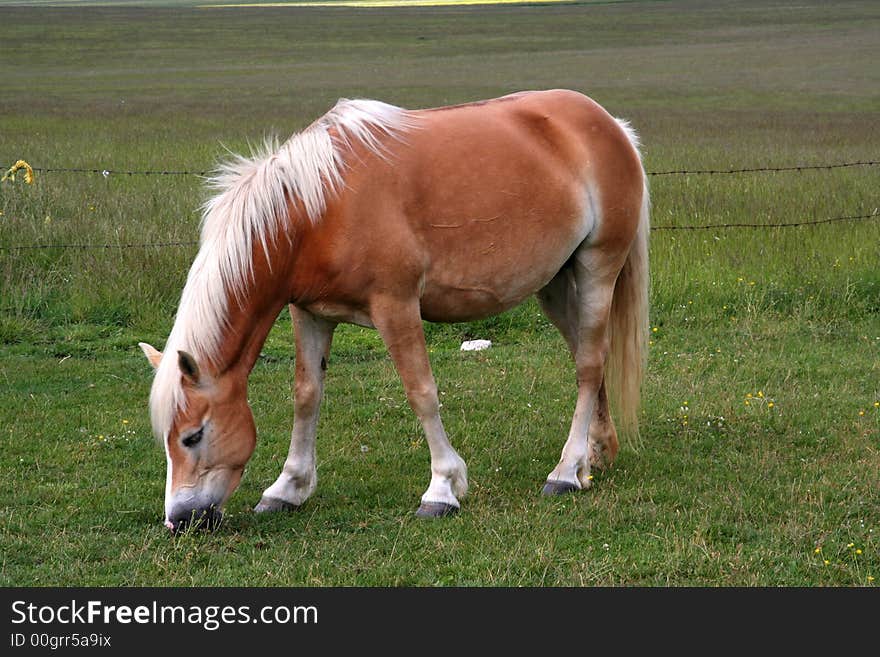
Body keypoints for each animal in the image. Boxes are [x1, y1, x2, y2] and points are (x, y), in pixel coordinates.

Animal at [138, 87, 648, 532]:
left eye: (192, 436)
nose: (179, 521)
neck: (317, 208)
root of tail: (612, 126)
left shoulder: (395, 306)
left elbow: (421, 392)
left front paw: (442, 489)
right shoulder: (310, 313)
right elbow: (306, 396)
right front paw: (287, 488)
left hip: (598, 267)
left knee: (588, 364)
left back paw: (564, 472)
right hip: (556, 284)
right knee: (589, 356)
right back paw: (593, 454)